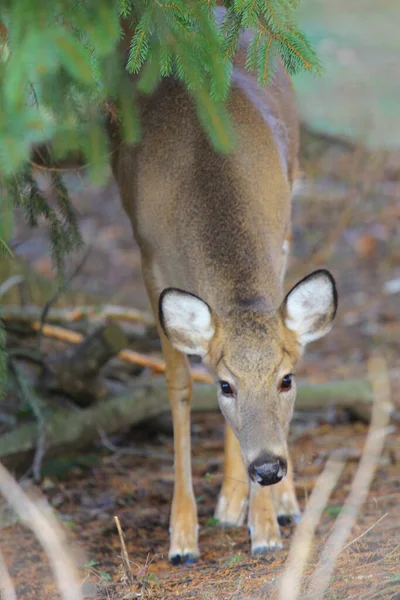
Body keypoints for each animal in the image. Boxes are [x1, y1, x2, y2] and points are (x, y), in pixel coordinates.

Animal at [108, 9, 338, 564]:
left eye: (287, 380)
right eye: (225, 386)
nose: (269, 468)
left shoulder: (279, 239)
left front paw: (267, 525)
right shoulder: (149, 260)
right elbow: (178, 386)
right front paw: (182, 537)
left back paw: (267, 504)